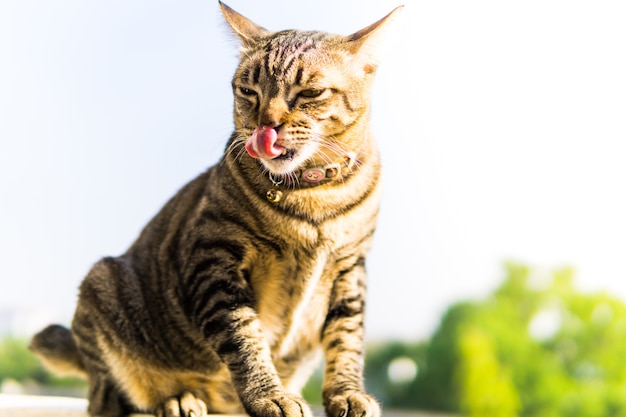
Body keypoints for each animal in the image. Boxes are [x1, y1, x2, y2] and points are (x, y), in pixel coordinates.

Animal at [29, 3, 400, 416]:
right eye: (249, 91)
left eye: (311, 92)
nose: (266, 124)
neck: (312, 193)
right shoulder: (215, 258)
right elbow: (244, 336)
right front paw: (270, 396)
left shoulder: (351, 267)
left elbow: (346, 337)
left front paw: (345, 393)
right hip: (102, 283)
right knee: (109, 395)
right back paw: (174, 399)